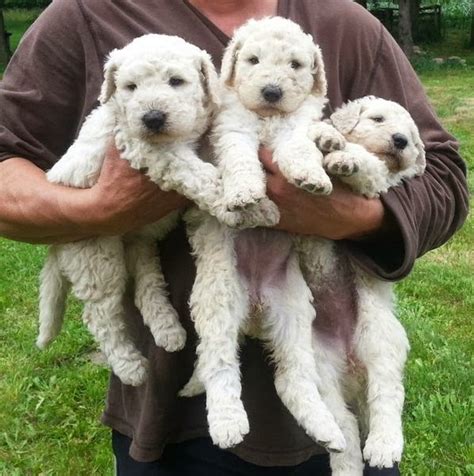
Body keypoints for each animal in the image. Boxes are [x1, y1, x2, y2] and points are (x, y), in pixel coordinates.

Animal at [37, 35, 226, 386]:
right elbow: (190, 169)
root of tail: (55, 244)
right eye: (130, 87)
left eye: (176, 81)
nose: (152, 118)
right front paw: (225, 195)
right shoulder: (144, 147)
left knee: (145, 288)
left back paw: (169, 331)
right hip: (97, 257)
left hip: (139, 244)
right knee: (100, 315)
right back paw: (131, 367)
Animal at [180, 16, 346, 452]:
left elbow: (300, 148)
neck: (268, 118)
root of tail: (254, 310)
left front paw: (310, 176)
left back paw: (327, 431)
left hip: (293, 312)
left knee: (292, 377)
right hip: (219, 299)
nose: (272, 91)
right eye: (252, 60)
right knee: (219, 365)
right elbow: (240, 160)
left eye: (295, 65)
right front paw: (244, 195)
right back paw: (228, 425)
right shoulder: (232, 130)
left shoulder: (296, 128)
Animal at [296, 96, 426, 472]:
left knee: (388, 397)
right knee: (347, 428)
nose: (400, 140)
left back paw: (384, 447)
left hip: (379, 339)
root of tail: (353, 369)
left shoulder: (378, 184)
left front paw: (345, 157)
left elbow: (371, 165)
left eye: (411, 135)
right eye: (378, 119)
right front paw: (327, 137)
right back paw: (346, 467)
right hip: (322, 368)